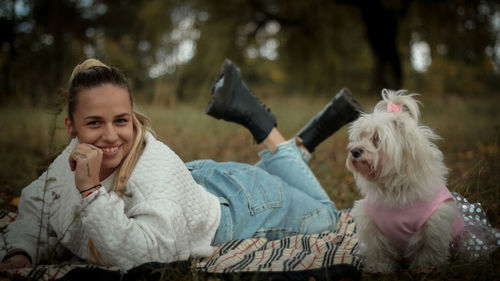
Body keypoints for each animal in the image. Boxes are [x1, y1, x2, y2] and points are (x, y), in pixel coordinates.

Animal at [346, 89, 462, 272]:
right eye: (359, 137)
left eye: (377, 138)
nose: (354, 151)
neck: (395, 188)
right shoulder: (372, 225)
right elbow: (378, 250)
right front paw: (379, 269)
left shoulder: (433, 225)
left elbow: (427, 251)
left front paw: (425, 269)